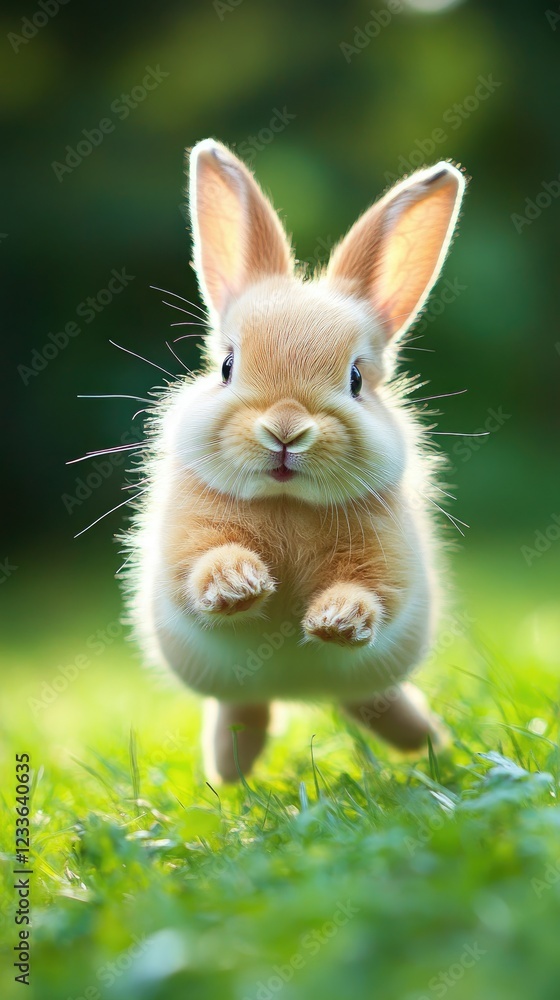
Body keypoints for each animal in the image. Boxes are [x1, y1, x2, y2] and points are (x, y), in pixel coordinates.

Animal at [126, 139, 466, 782]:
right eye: (227, 366)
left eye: (356, 379)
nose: (286, 430)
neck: (285, 501)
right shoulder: (186, 544)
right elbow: (201, 567)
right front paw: (239, 584)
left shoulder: (388, 566)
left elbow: (372, 593)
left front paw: (336, 621)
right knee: (243, 708)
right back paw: (230, 772)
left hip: (370, 685)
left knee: (370, 703)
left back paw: (429, 743)